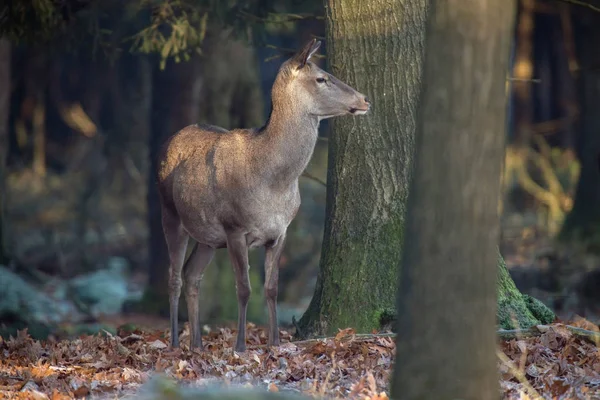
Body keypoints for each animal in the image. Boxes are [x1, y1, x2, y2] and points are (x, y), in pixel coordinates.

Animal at [155, 36, 370, 350]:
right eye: (321, 78)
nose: (365, 99)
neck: (274, 184)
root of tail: (169, 140)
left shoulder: (280, 231)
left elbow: (271, 288)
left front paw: (276, 342)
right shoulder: (234, 227)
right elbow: (244, 288)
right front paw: (240, 346)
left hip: (208, 237)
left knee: (192, 274)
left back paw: (196, 344)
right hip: (169, 212)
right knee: (174, 277)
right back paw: (173, 342)